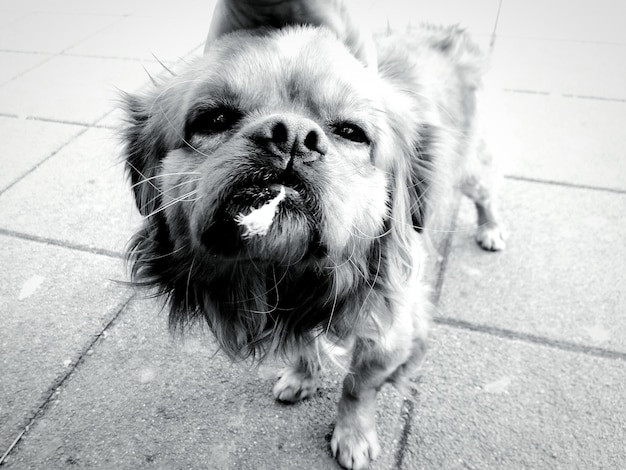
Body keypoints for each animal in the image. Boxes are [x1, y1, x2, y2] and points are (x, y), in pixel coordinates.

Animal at [123, 20, 508, 468]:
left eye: (351, 132)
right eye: (214, 118)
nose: (291, 134)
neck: (293, 274)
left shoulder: (391, 336)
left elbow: (358, 386)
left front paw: (353, 436)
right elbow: (305, 345)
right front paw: (302, 376)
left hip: (472, 169)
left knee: (486, 194)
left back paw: (491, 229)